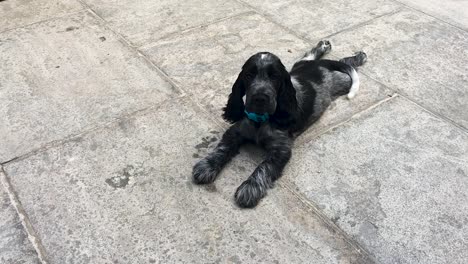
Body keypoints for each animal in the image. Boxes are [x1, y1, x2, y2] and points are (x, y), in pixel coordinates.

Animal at [192, 40, 368, 207]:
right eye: (249, 76)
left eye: (274, 77)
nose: (260, 98)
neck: (260, 120)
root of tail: (321, 66)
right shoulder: (235, 132)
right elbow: (222, 148)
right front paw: (206, 165)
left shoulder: (281, 149)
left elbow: (264, 167)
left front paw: (250, 188)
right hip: (302, 64)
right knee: (317, 57)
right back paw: (325, 46)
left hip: (343, 81)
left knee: (345, 64)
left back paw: (359, 57)